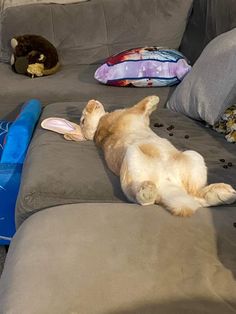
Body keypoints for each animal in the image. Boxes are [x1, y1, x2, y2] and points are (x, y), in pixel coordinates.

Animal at [79, 97, 236, 217]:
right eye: (82, 120)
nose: (91, 101)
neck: (100, 128)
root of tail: (167, 183)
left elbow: (144, 110)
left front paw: (154, 102)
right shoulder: (129, 113)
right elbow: (141, 105)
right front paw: (154, 99)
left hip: (193, 157)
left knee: (196, 195)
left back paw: (224, 193)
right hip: (131, 161)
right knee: (141, 198)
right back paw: (147, 191)